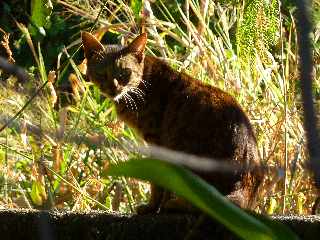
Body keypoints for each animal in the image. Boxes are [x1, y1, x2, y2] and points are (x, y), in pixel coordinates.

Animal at [80, 31, 262, 213]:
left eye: (124, 73)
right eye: (102, 73)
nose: (113, 87)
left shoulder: (158, 143)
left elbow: (158, 182)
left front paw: (152, 207)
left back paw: (176, 204)